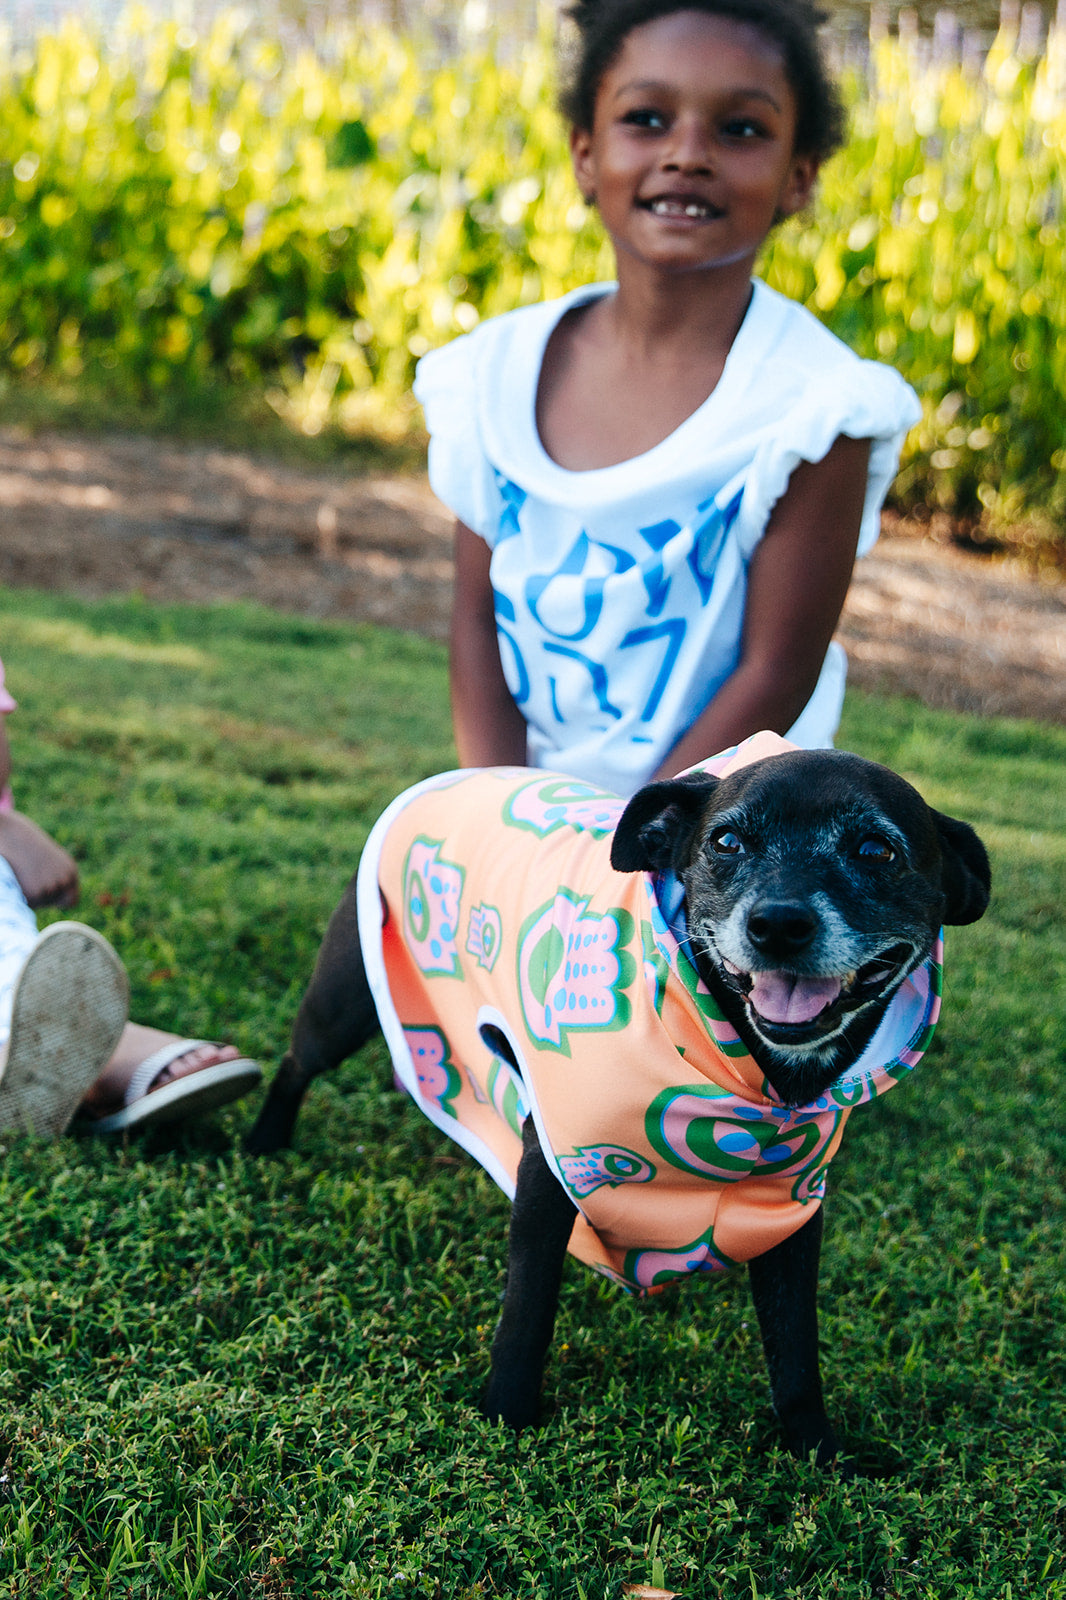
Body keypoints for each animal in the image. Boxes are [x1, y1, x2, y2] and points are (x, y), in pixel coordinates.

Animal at [249, 745, 985, 1465]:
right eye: (726, 840)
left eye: (876, 850)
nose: (778, 924)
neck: (748, 1080)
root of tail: (449, 776)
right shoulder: (553, 1169)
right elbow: (527, 1312)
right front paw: (505, 1419)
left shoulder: (790, 1207)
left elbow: (796, 1349)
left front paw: (817, 1454)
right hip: (343, 1003)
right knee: (294, 1064)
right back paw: (266, 1141)